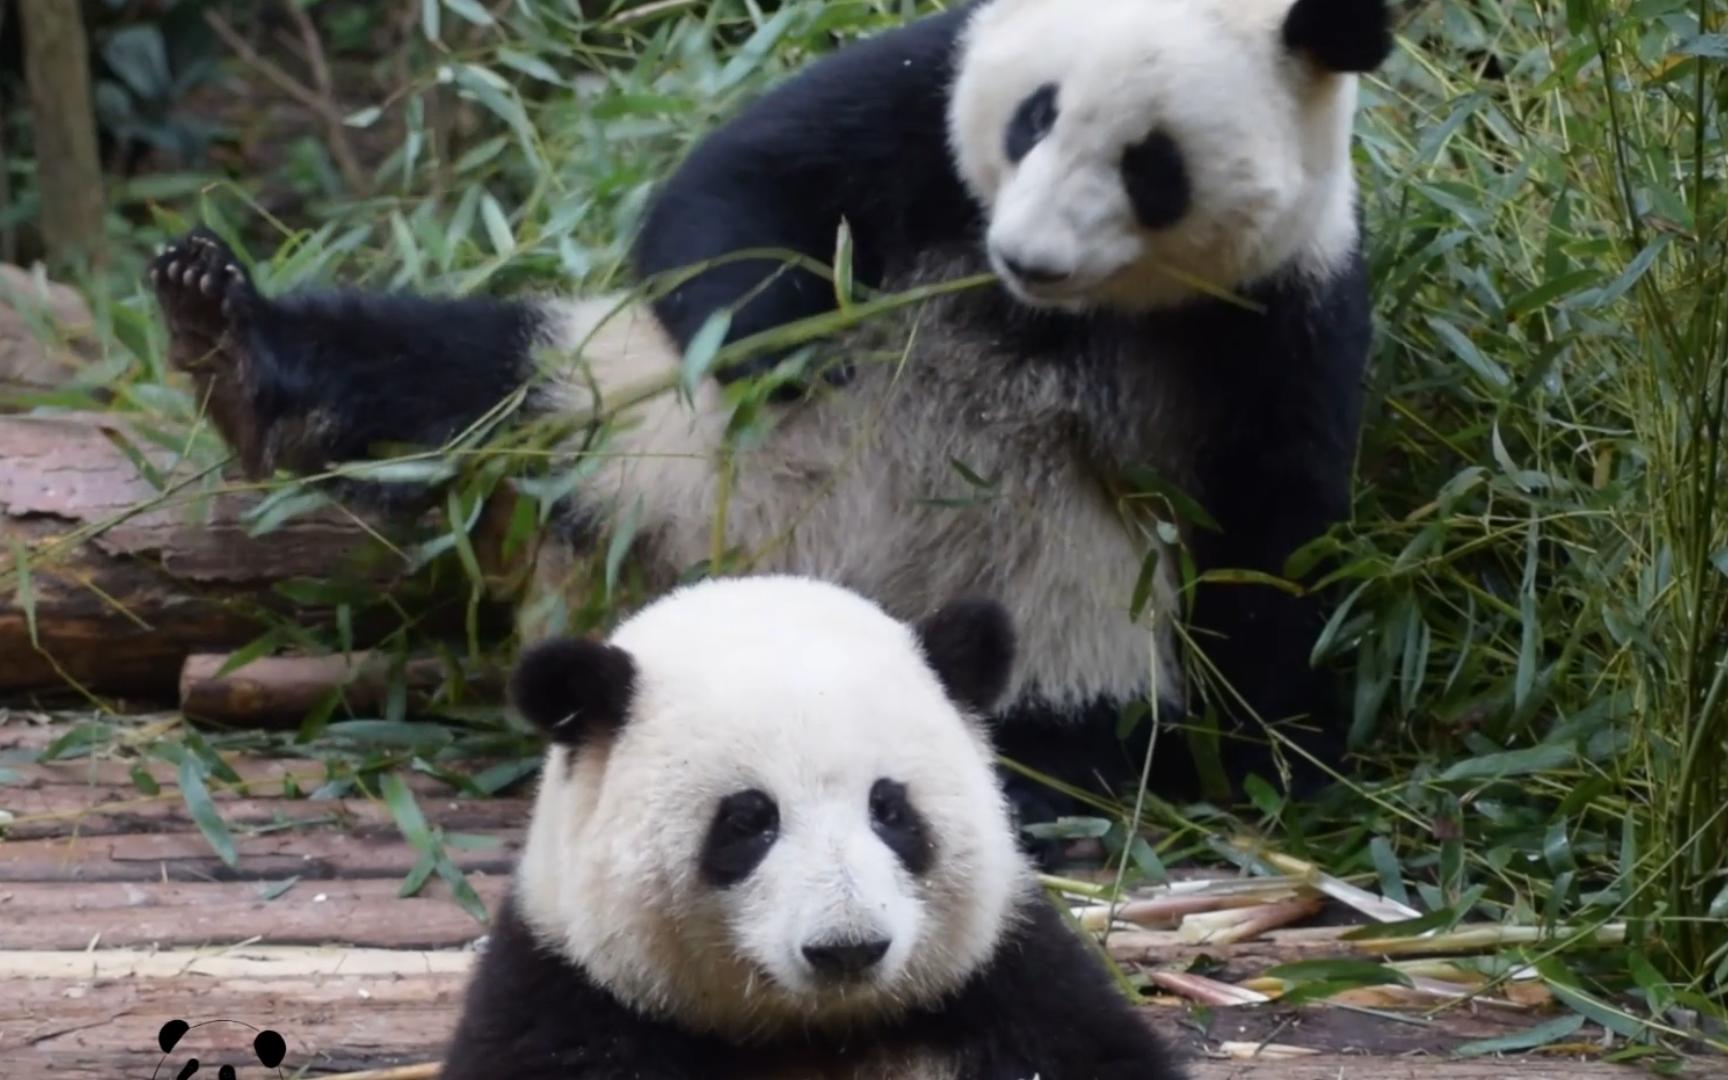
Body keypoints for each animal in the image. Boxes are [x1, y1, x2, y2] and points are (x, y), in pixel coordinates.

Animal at [145, 0, 1389, 832]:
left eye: (1151, 165)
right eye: (1035, 118)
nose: (1027, 253)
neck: (1035, 315)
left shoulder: (1278, 306)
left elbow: (1272, 533)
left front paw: (1289, 753)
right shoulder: (921, 92)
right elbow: (734, 187)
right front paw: (774, 344)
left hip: (1061, 615)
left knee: (1058, 733)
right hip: (609, 426)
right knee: (449, 381)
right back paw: (225, 347)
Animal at [438, 570, 1181, 1071]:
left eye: (890, 809)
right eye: (747, 822)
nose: (847, 947)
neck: (822, 1029)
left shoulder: (1007, 980)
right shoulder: (570, 995)